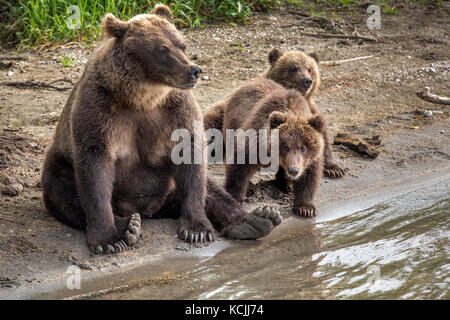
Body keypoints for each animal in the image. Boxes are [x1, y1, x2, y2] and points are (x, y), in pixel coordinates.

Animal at [42, 5, 282, 254]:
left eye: (182, 44)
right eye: (162, 49)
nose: (194, 70)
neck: (142, 97)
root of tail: (153, 210)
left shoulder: (175, 110)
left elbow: (191, 161)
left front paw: (196, 229)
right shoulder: (100, 107)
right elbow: (95, 167)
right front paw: (108, 239)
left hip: (170, 186)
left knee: (210, 188)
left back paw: (257, 220)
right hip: (60, 164)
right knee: (64, 193)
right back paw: (128, 224)